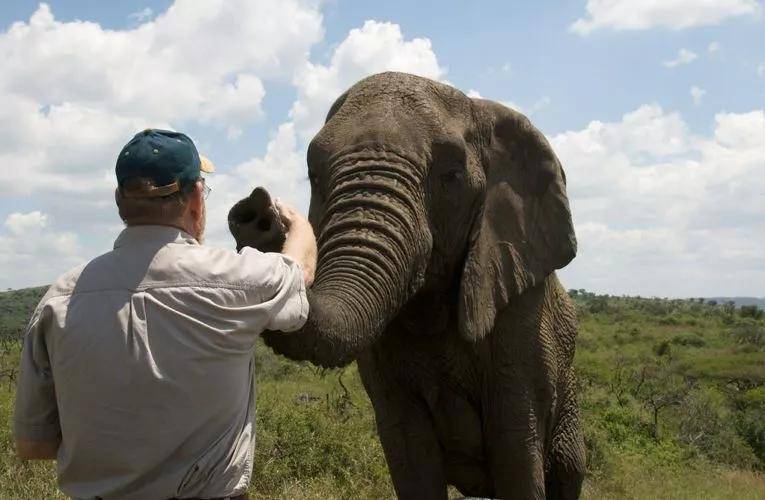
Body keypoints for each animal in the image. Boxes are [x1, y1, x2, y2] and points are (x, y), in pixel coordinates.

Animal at [227, 71, 584, 500]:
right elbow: (411, 455)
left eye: (451, 176)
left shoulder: (523, 322)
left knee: (567, 470)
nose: (258, 210)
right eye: (314, 176)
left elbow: (516, 453)